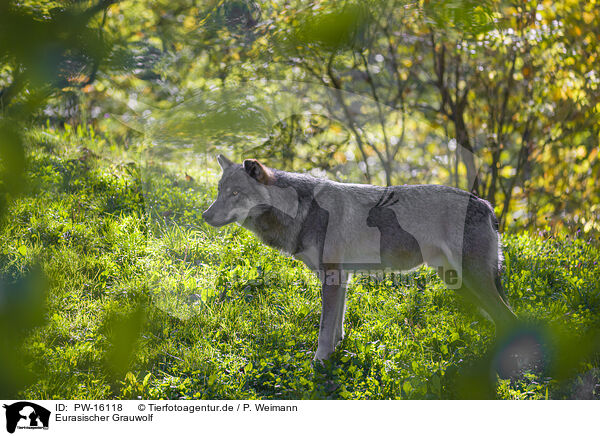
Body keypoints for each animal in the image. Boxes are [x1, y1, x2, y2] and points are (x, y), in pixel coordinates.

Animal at [202, 156, 516, 362]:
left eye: (235, 193)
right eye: (219, 191)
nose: (205, 215)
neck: (299, 210)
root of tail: (486, 204)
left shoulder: (332, 276)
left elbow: (324, 328)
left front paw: (319, 362)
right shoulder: (341, 277)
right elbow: (336, 325)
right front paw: (336, 352)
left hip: (472, 280)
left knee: (508, 318)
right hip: (458, 282)